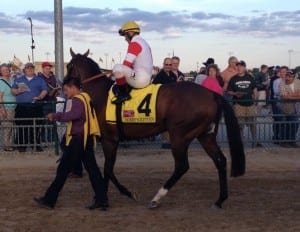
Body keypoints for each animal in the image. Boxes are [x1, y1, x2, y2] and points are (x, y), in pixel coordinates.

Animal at [67, 48, 245, 209]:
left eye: (69, 66)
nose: (65, 85)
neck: (101, 95)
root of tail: (212, 94)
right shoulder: (109, 140)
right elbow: (107, 170)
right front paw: (100, 200)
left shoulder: (109, 140)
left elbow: (108, 170)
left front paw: (125, 194)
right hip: (205, 135)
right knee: (220, 160)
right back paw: (220, 200)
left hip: (179, 136)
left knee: (182, 166)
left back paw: (156, 198)